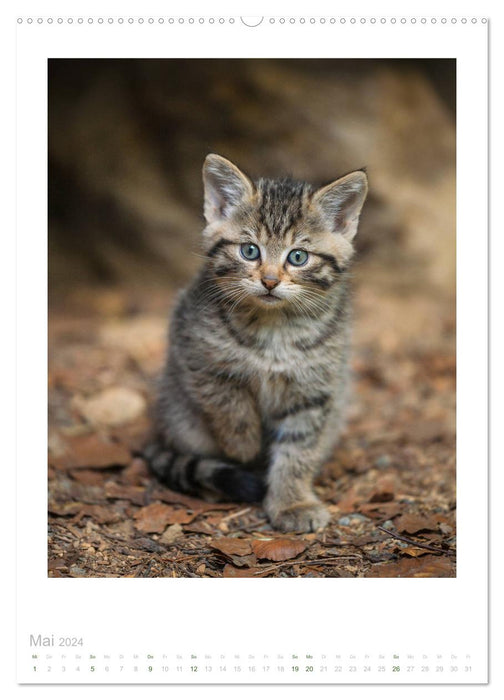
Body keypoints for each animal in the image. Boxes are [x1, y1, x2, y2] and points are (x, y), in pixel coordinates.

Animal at [144, 156, 368, 532]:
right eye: (250, 251)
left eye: (298, 257)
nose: (270, 281)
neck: (274, 327)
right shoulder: (198, 356)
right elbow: (228, 403)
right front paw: (244, 445)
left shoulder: (313, 388)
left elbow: (297, 449)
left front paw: (292, 503)